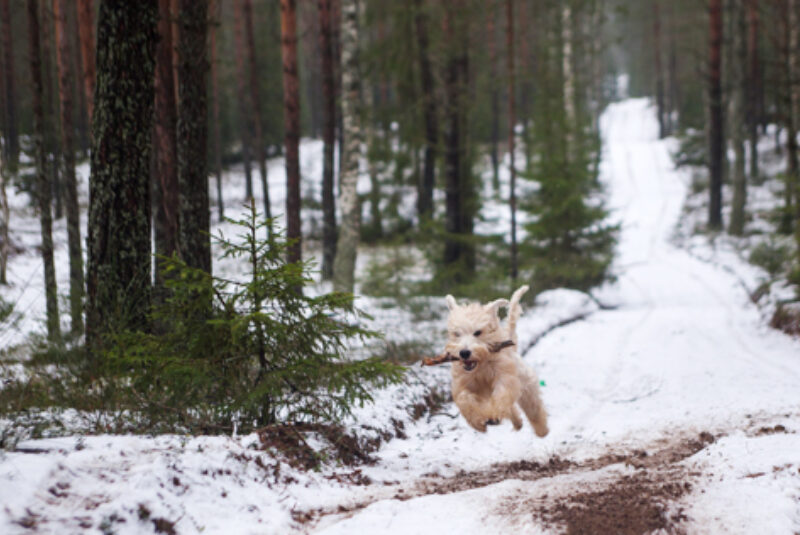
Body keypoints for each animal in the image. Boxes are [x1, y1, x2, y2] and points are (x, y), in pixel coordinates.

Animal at [444, 284, 552, 436]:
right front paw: (478, 423)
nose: (464, 353)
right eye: (456, 333)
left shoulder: (505, 378)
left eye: (478, 332)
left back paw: (542, 430)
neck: (481, 365)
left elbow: (502, 396)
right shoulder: (463, 383)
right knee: (511, 409)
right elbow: (464, 398)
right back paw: (516, 423)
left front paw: (493, 416)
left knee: (533, 407)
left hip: (527, 387)